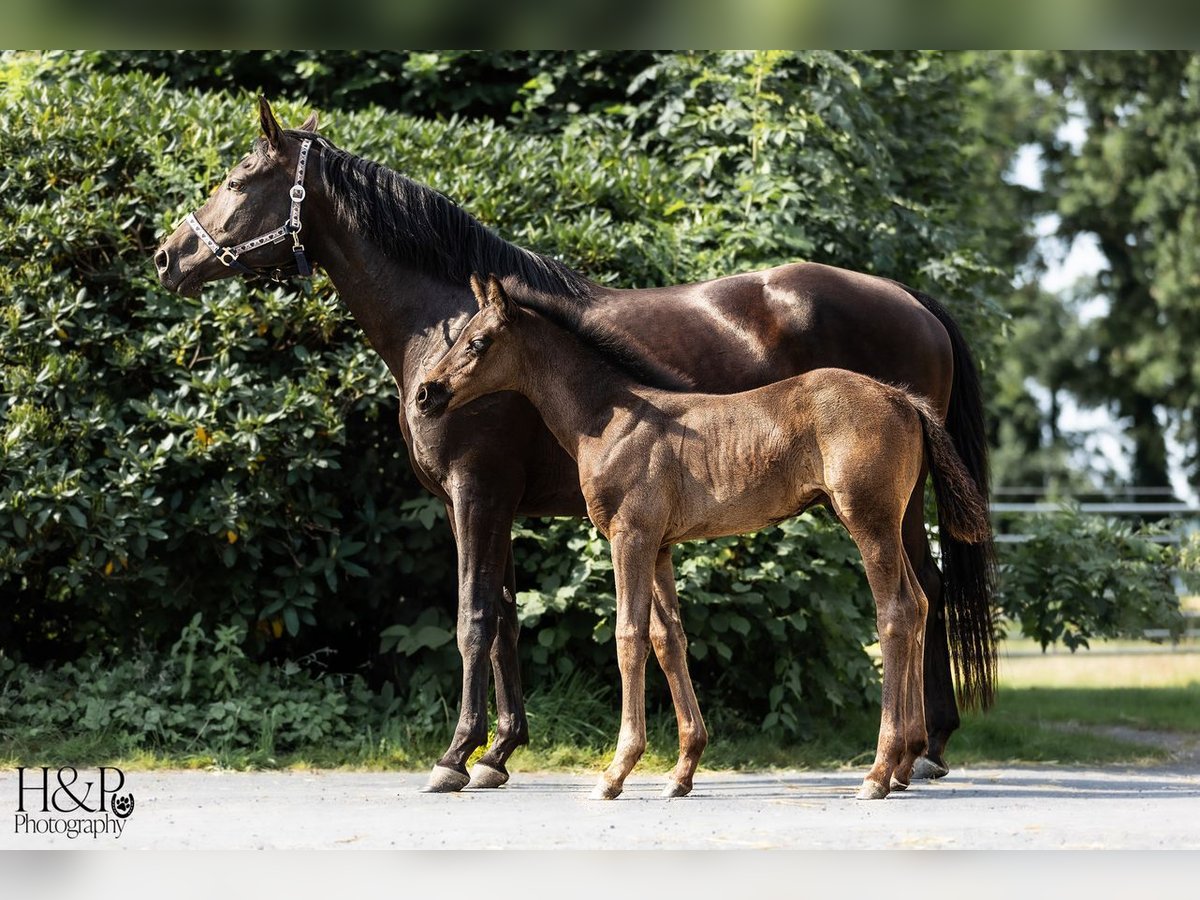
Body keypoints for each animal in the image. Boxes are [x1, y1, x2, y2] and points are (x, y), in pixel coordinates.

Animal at [415, 277, 993, 801]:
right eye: (459, 335)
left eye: (477, 341)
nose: (426, 394)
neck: (611, 418)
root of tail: (902, 399)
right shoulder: (661, 546)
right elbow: (669, 639)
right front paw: (681, 772)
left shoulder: (630, 535)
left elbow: (629, 637)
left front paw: (616, 772)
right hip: (888, 521)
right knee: (920, 603)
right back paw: (905, 762)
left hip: (868, 518)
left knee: (896, 612)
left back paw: (877, 772)